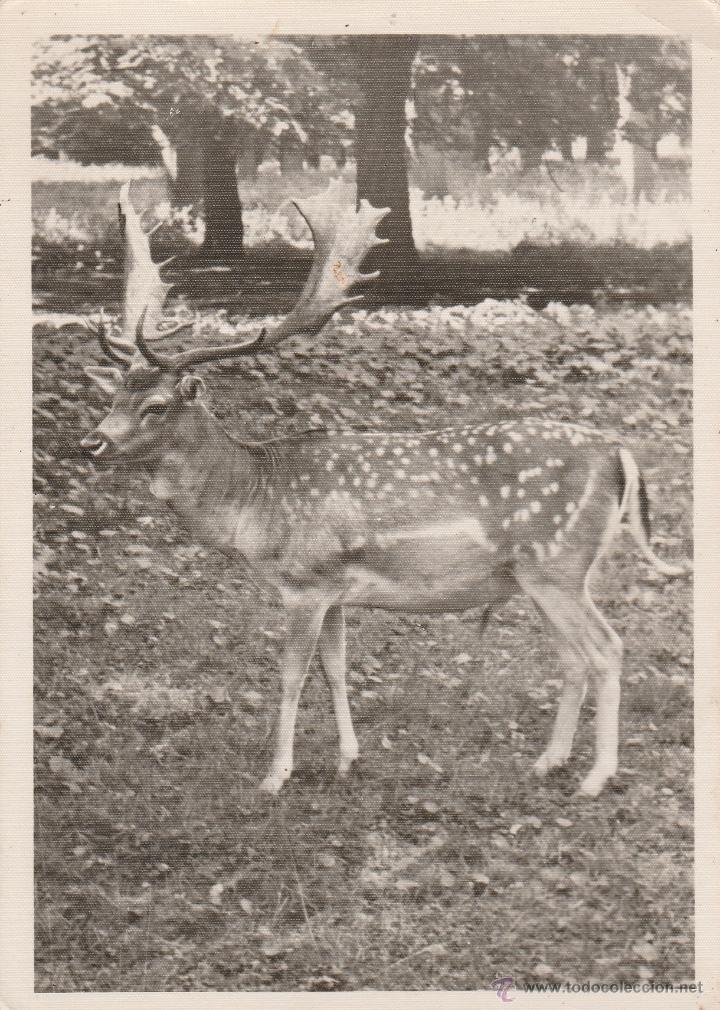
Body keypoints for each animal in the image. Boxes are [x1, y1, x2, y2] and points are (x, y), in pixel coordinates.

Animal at [80, 180, 687, 798]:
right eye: (114, 396)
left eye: (156, 406)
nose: (92, 443)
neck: (257, 504)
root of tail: (620, 454)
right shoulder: (334, 590)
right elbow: (335, 669)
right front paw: (348, 758)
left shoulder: (306, 580)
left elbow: (292, 676)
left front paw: (275, 775)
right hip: (541, 575)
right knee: (572, 657)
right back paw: (548, 761)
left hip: (556, 562)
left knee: (606, 648)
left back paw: (595, 777)